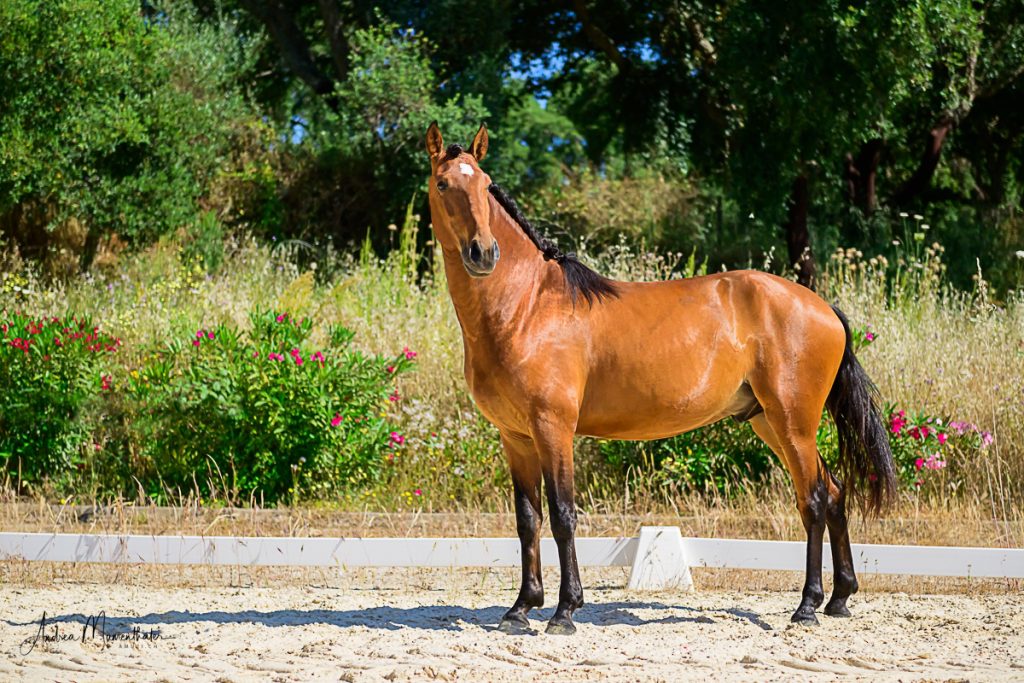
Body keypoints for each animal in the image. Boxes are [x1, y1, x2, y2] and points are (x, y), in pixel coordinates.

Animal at [423, 121, 897, 634]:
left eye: (486, 185)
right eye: (443, 184)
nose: (483, 253)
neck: (528, 306)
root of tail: (823, 307)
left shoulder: (554, 428)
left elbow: (563, 514)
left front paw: (565, 610)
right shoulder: (516, 437)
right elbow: (527, 519)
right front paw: (520, 608)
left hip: (793, 422)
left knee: (812, 500)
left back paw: (807, 605)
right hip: (769, 422)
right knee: (834, 492)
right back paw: (839, 598)